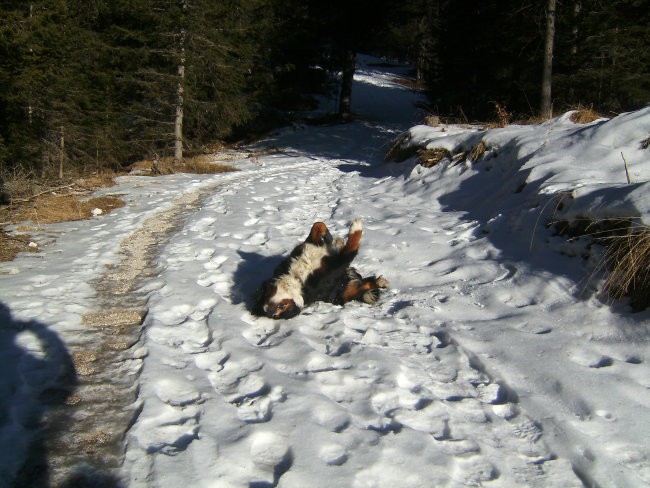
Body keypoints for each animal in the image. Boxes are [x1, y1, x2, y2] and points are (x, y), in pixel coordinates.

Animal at [252, 218, 384, 318]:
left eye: (265, 296)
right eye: (282, 311)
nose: (271, 313)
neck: (297, 277)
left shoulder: (309, 245)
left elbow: (318, 225)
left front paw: (332, 239)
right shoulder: (335, 268)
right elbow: (350, 249)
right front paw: (356, 227)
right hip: (338, 295)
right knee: (360, 288)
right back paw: (381, 282)